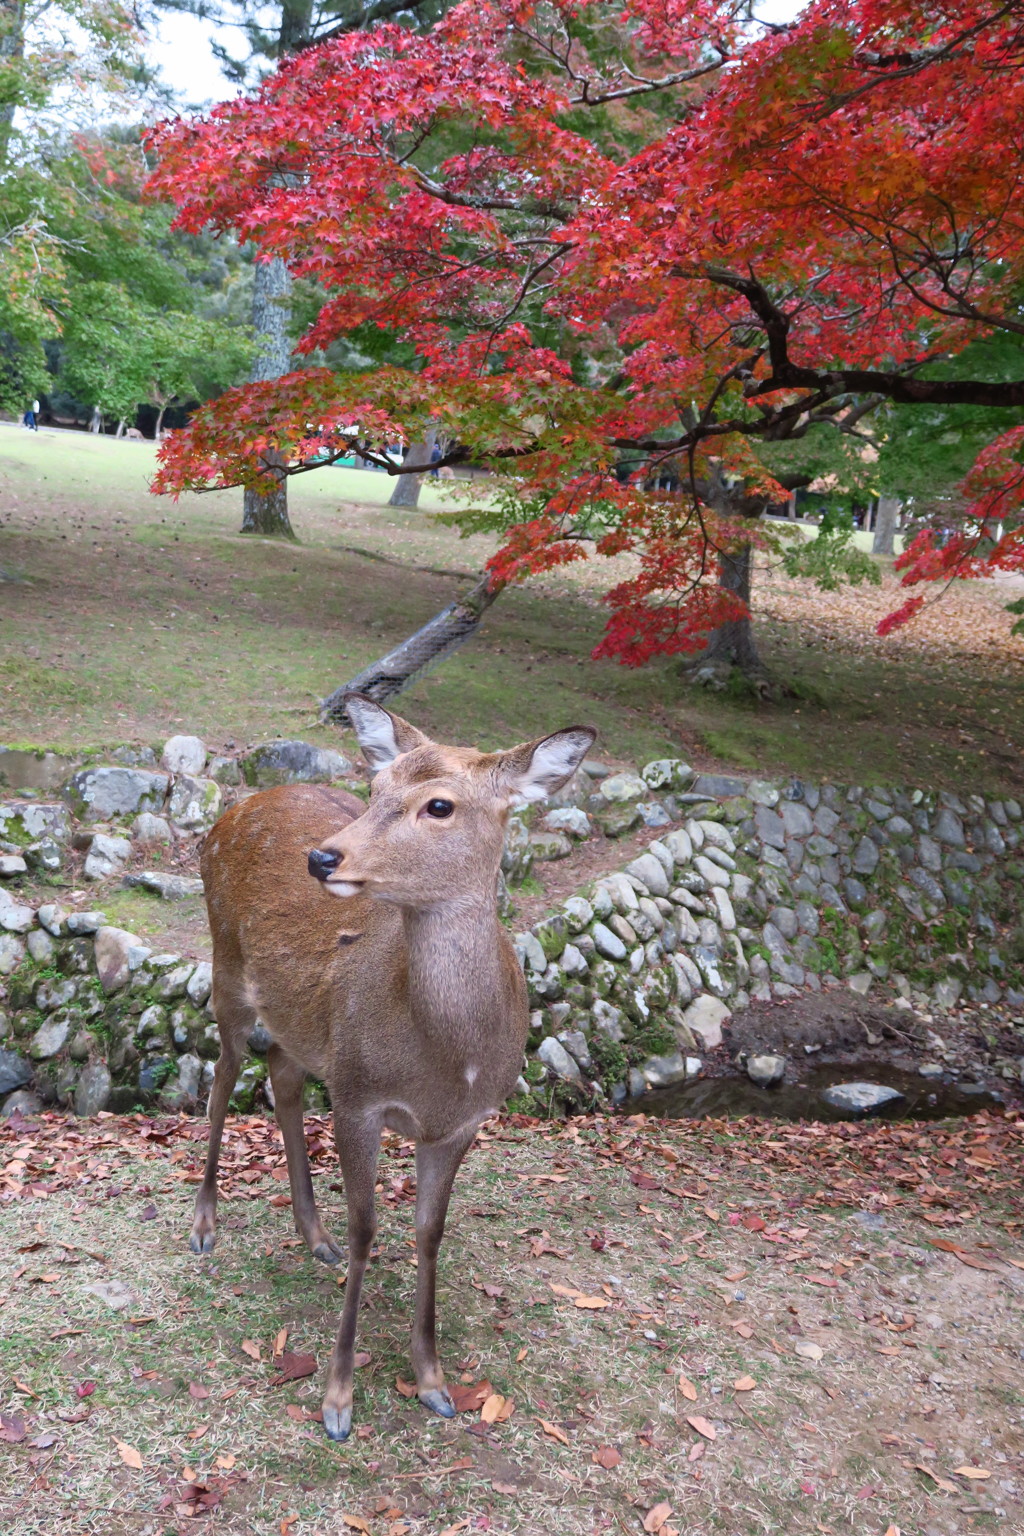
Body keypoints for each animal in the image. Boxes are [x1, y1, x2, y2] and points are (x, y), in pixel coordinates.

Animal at [191, 697, 595, 1437]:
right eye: (375, 787)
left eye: (439, 805)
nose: (323, 856)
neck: (446, 1062)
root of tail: (233, 810)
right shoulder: (359, 1094)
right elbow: (367, 1230)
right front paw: (337, 1399)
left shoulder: (462, 1123)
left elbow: (429, 1233)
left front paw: (434, 1382)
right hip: (226, 966)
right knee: (223, 1080)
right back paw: (204, 1225)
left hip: (303, 1025)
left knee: (282, 1079)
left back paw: (311, 1232)